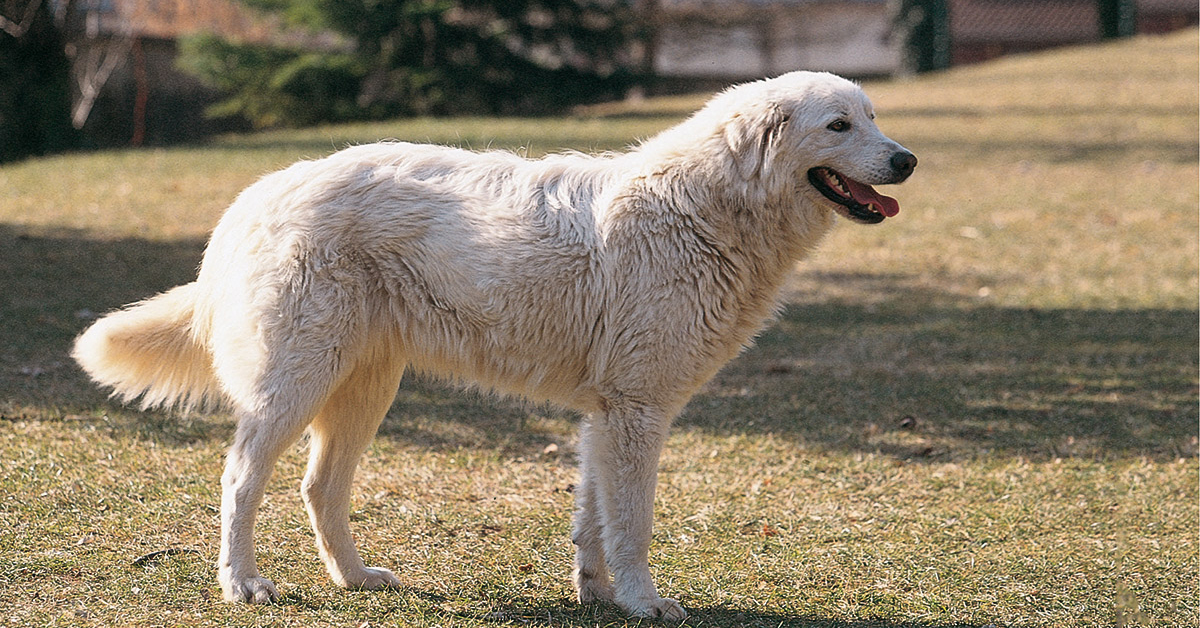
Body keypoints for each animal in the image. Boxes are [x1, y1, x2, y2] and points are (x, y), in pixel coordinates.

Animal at [75, 71, 912, 619]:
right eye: (839, 126)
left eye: (874, 116)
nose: (906, 160)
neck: (705, 209)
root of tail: (261, 191)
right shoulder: (637, 410)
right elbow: (632, 524)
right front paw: (645, 602)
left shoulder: (605, 415)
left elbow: (594, 520)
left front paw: (597, 594)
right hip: (295, 383)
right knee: (239, 479)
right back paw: (242, 585)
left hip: (364, 389)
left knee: (320, 488)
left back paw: (355, 579)